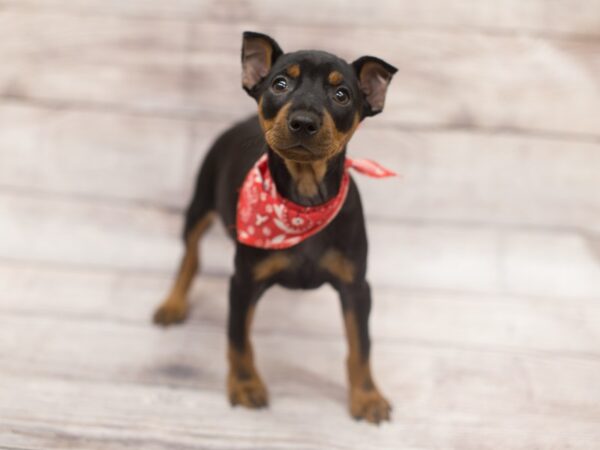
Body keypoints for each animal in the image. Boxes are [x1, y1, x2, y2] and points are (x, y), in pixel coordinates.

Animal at [154, 31, 398, 426]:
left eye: (342, 94)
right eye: (279, 84)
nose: (303, 122)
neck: (302, 202)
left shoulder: (356, 287)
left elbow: (360, 346)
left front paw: (367, 398)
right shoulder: (243, 283)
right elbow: (239, 339)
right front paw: (245, 386)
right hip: (200, 201)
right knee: (190, 254)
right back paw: (173, 303)